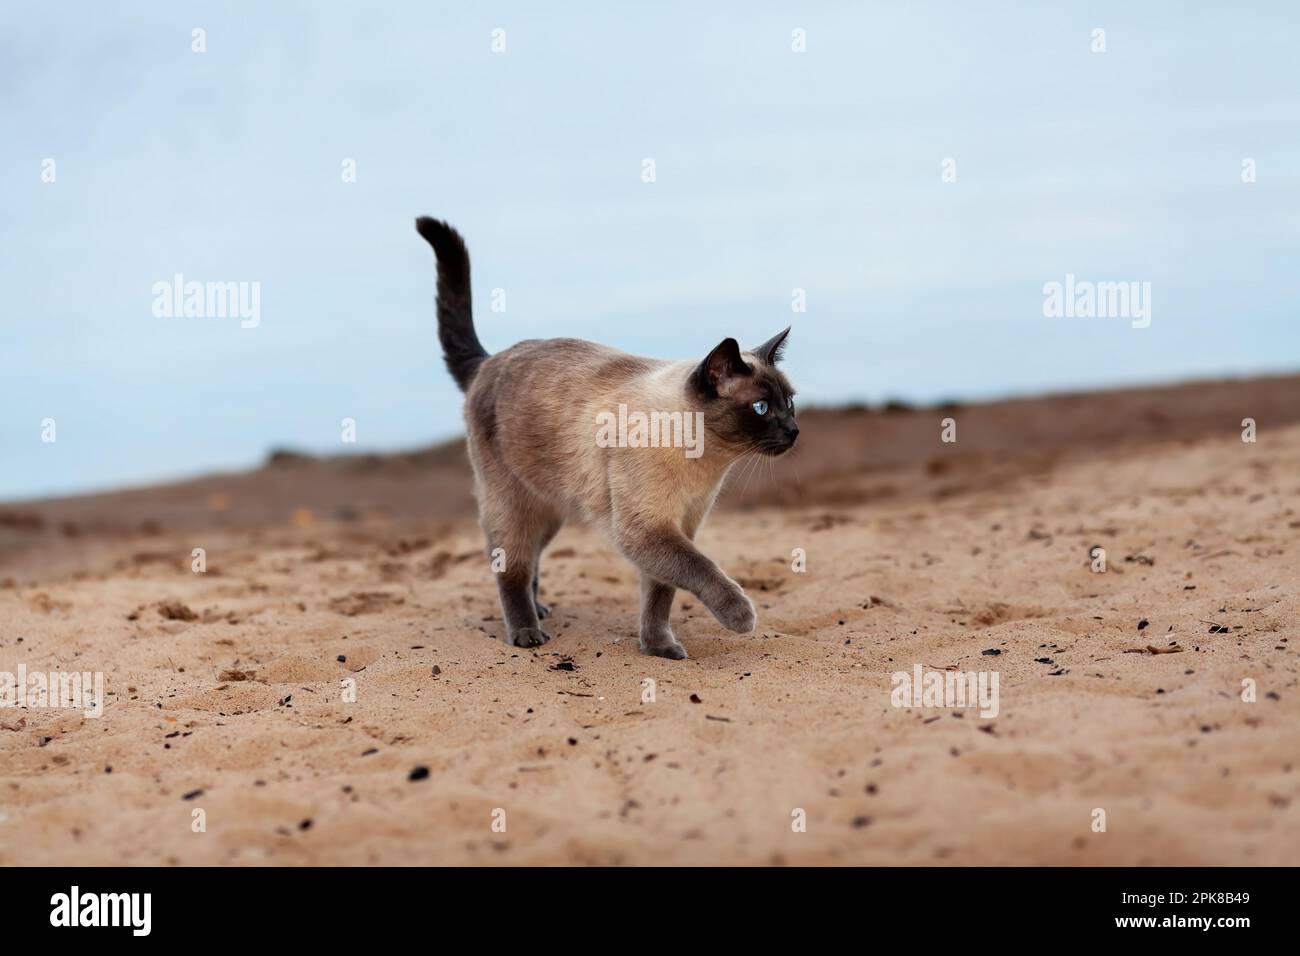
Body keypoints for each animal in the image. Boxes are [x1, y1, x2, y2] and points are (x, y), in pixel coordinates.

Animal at [418, 218, 800, 658]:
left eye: (789, 401)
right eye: (761, 408)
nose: (794, 431)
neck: (705, 461)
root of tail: (490, 360)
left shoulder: (680, 526)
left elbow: (660, 595)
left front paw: (659, 648)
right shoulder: (648, 530)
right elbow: (700, 568)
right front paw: (741, 617)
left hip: (548, 512)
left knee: (532, 561)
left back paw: (540, 609)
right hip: (511, 504)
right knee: (511, 567)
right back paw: (528, 633)